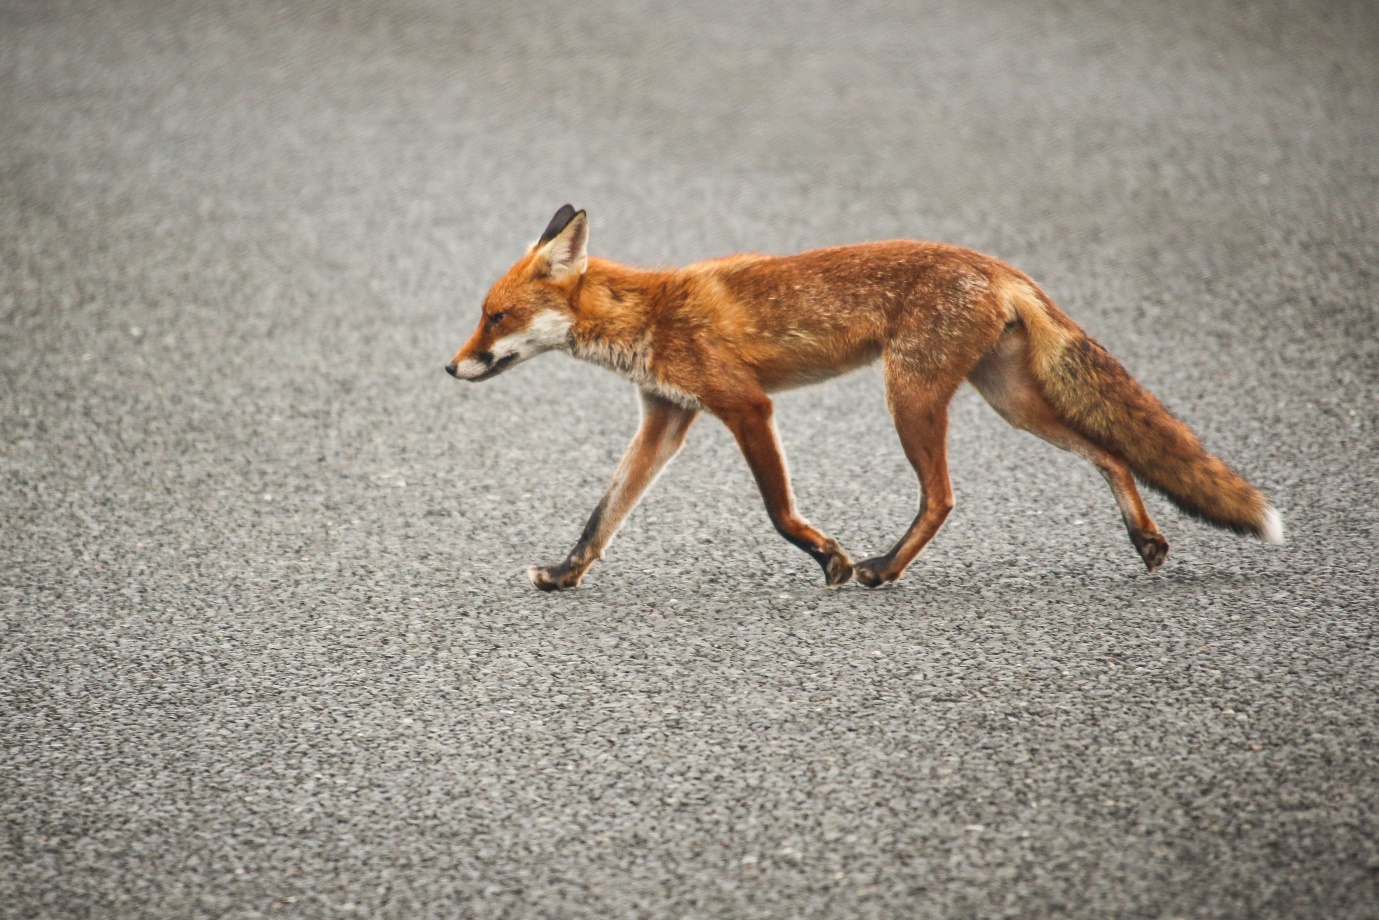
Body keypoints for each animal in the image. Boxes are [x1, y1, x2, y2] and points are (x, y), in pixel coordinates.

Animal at [446, 205, 1282, 591]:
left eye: (495, 316)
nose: (450, 368)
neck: (650, 315)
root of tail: (997, 265)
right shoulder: (666, 416)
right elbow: (601, 516)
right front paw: (563, 575)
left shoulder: (745, 406)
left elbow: (778, 512)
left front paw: (832, 559)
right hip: (1009, 402)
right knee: (1110, 451)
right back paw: (1145, 539)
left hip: (908, 395)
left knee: (942, 496)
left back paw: (882, 568)